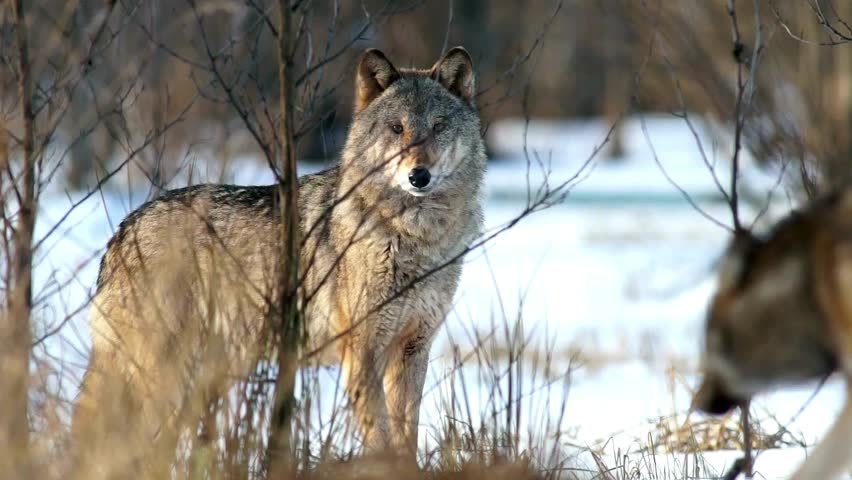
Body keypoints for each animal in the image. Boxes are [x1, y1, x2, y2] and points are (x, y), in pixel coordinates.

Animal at [72, 47, 485, 475]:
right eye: (396, 128)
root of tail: (122, 231)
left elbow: (406, 440)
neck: (414, 238)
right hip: (165, 381)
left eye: (438, 127)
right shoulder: (362, 354)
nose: (419, 176)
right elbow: (383, 442)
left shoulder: (412, 349)